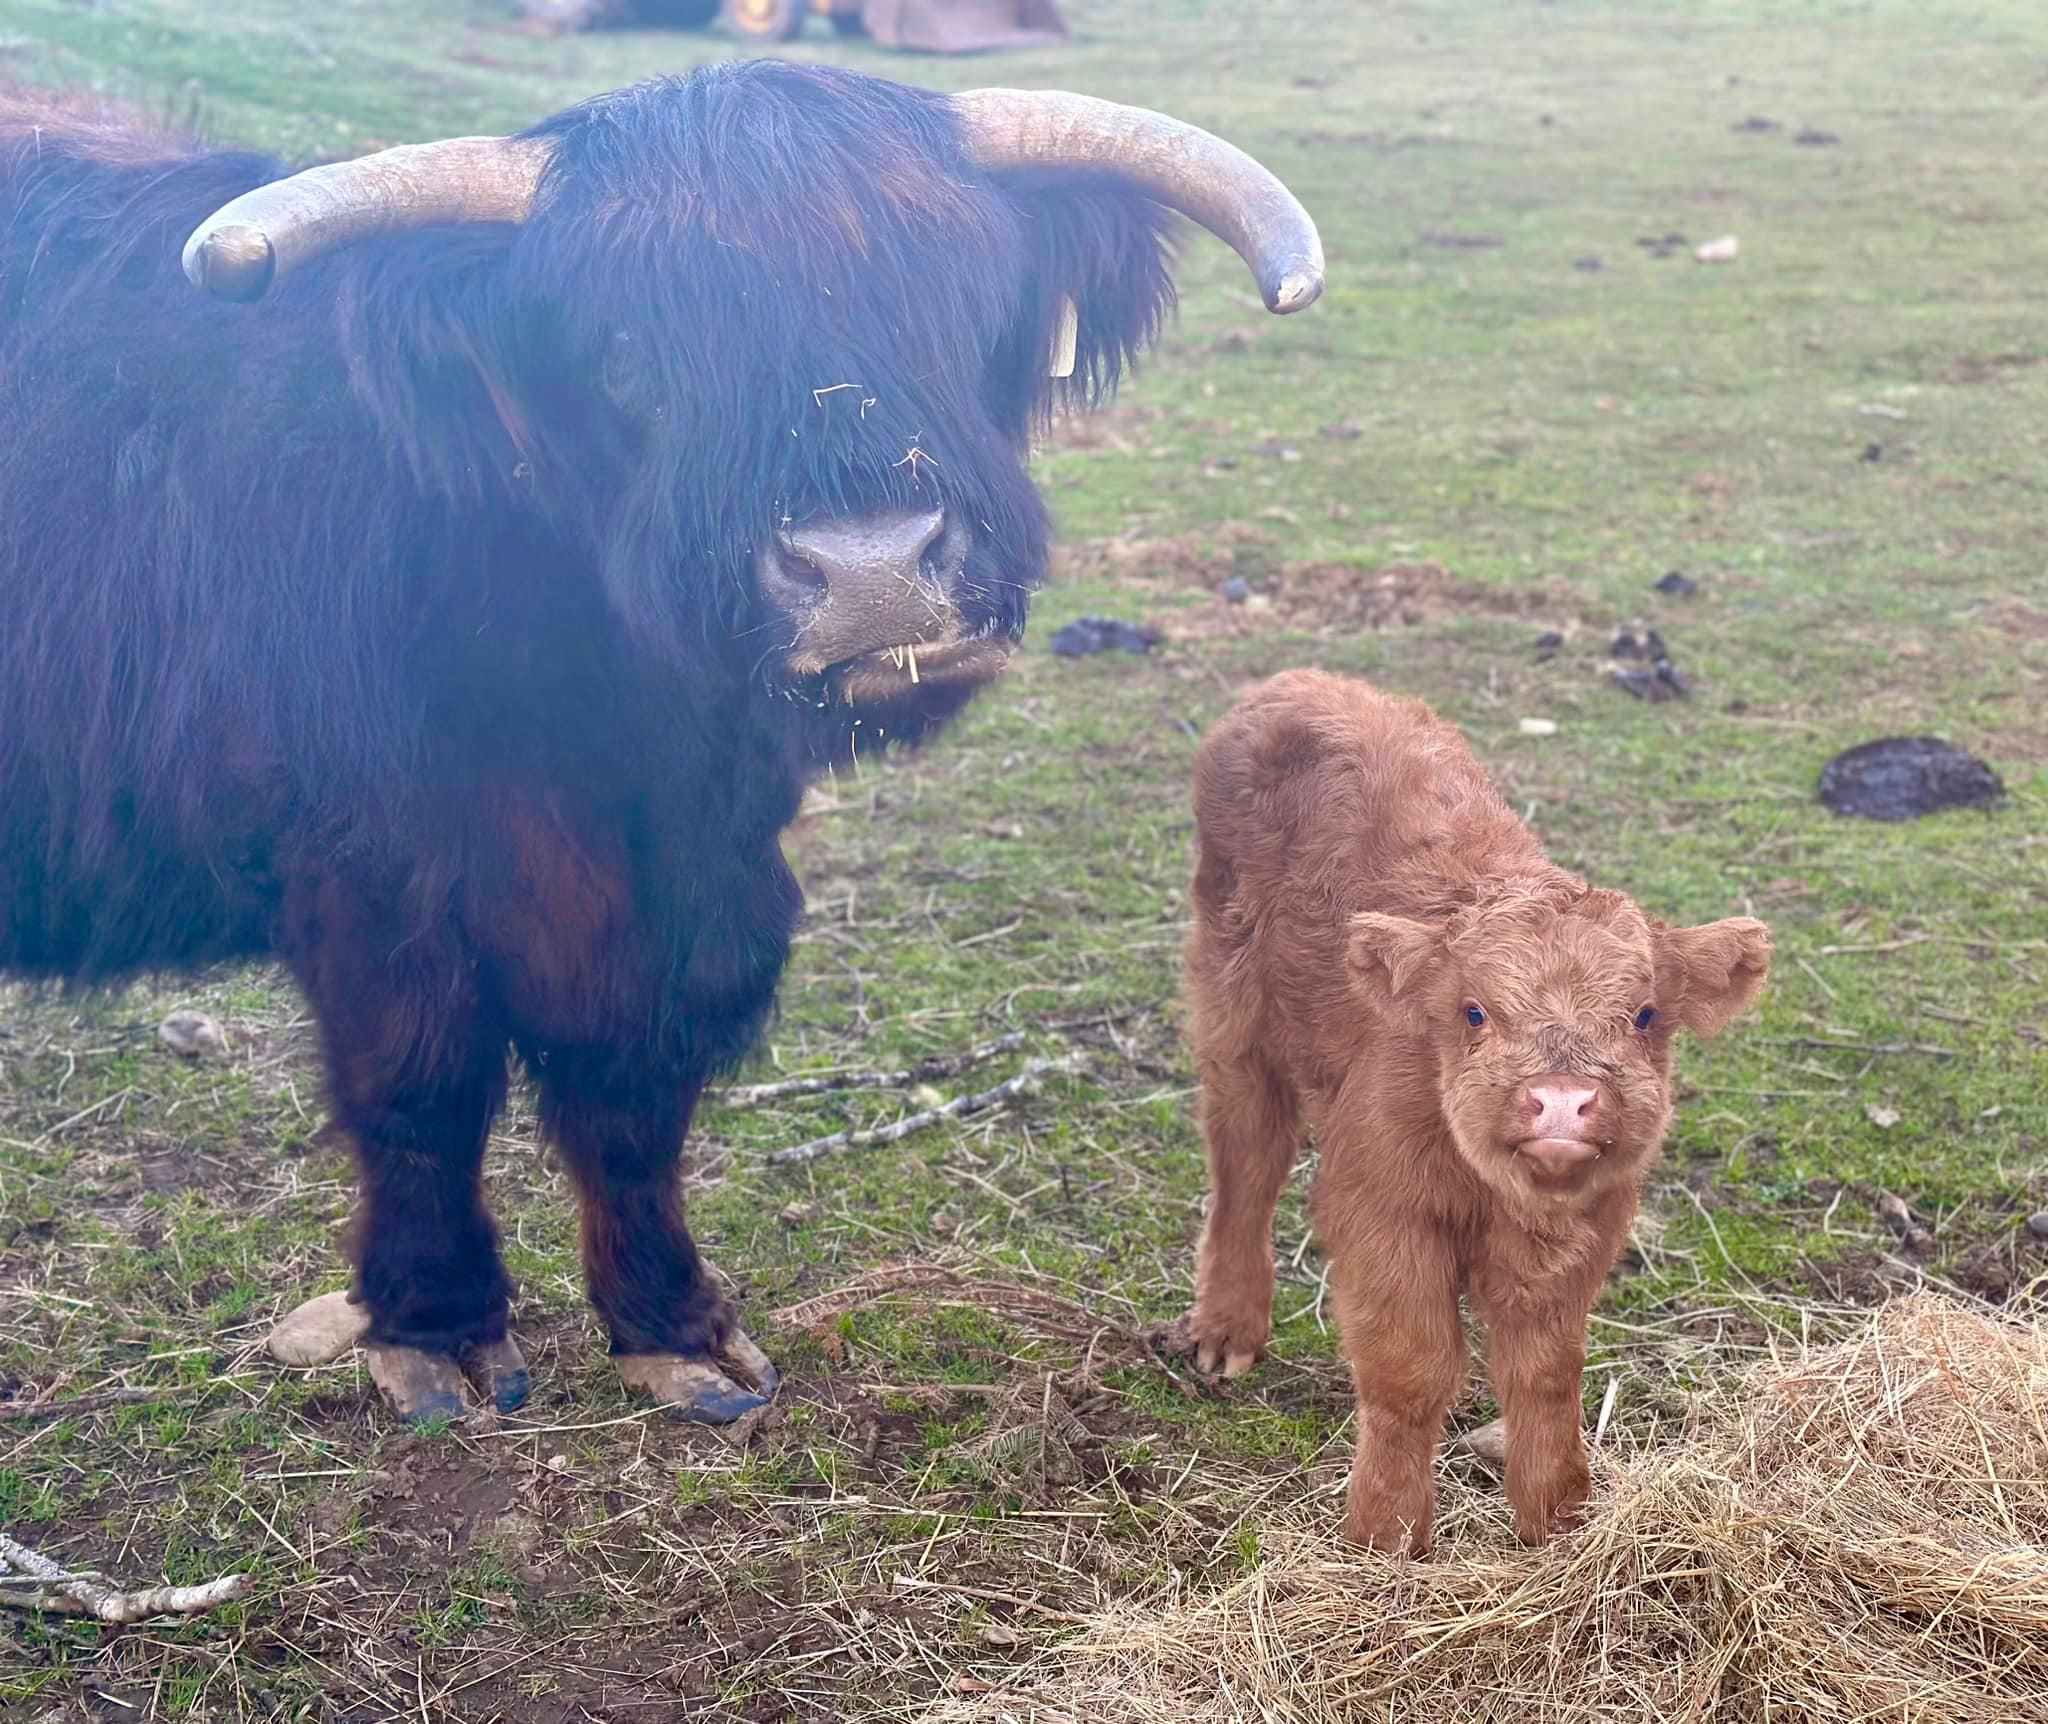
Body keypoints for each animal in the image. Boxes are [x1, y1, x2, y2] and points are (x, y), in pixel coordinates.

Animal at [0, 63, 1322, 1425]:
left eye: (962, 301)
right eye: (627, 355)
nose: (869, 570)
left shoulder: (677, 889)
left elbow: (633, 1087)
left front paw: (673, 1326)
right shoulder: (366, 875)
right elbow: (420, 1087)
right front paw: (436, 1330)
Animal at [1180, 671, 1770, 1551]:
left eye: (1644, 1015)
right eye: (1473, 1011)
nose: (1560, 1101)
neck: (1499, 1198)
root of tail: (1299, 683)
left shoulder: (1589, 1227)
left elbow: (1546, 1373)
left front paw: (1557, 1522)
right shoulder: (1382, 1210)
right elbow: (1410, 1371)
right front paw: (1384, 1537)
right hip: (1233, 1008)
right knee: (1246, 1157)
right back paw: (1226, 1333)